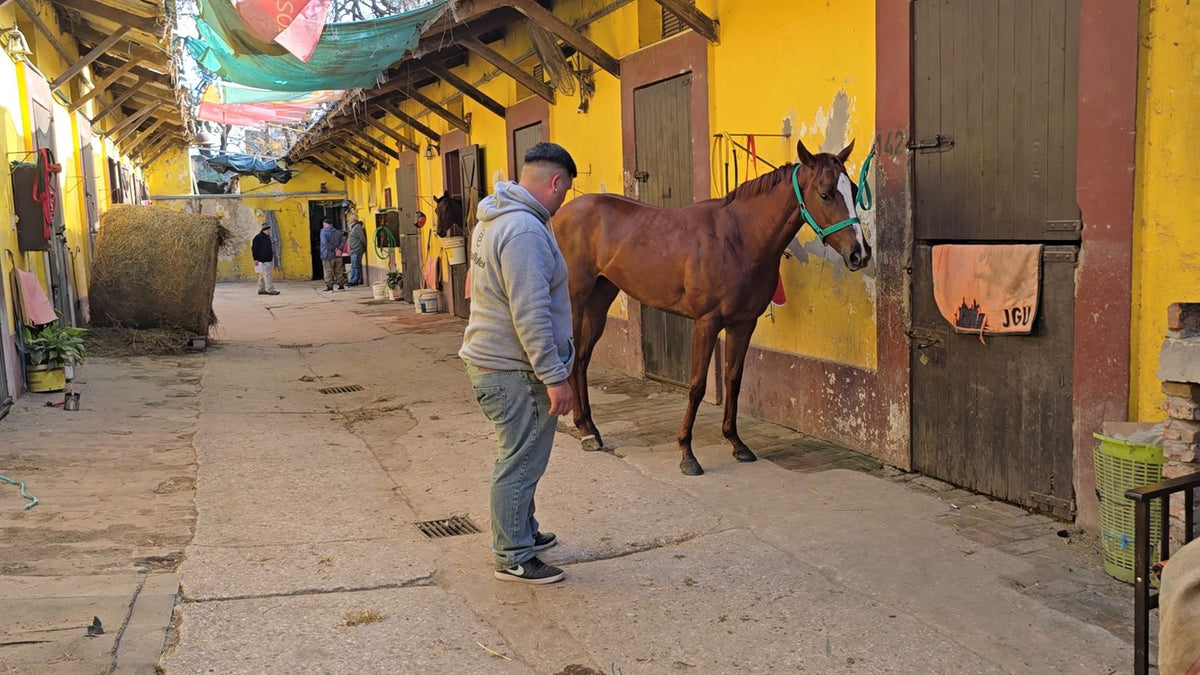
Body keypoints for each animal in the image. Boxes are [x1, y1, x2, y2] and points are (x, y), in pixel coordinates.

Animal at [552, 139, 872, 476]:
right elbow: (697, 385)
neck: (739, 238)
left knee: (582, 359)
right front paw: (687, 454)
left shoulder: (743, 323)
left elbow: (733, 379)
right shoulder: (706, 323)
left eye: (853, 188)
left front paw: (737, 443)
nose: (860, 253)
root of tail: (562, 214)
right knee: (573, 360)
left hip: (600, 299)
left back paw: (590, 428)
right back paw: (585, 431)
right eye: (825, 193)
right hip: (575, 301)